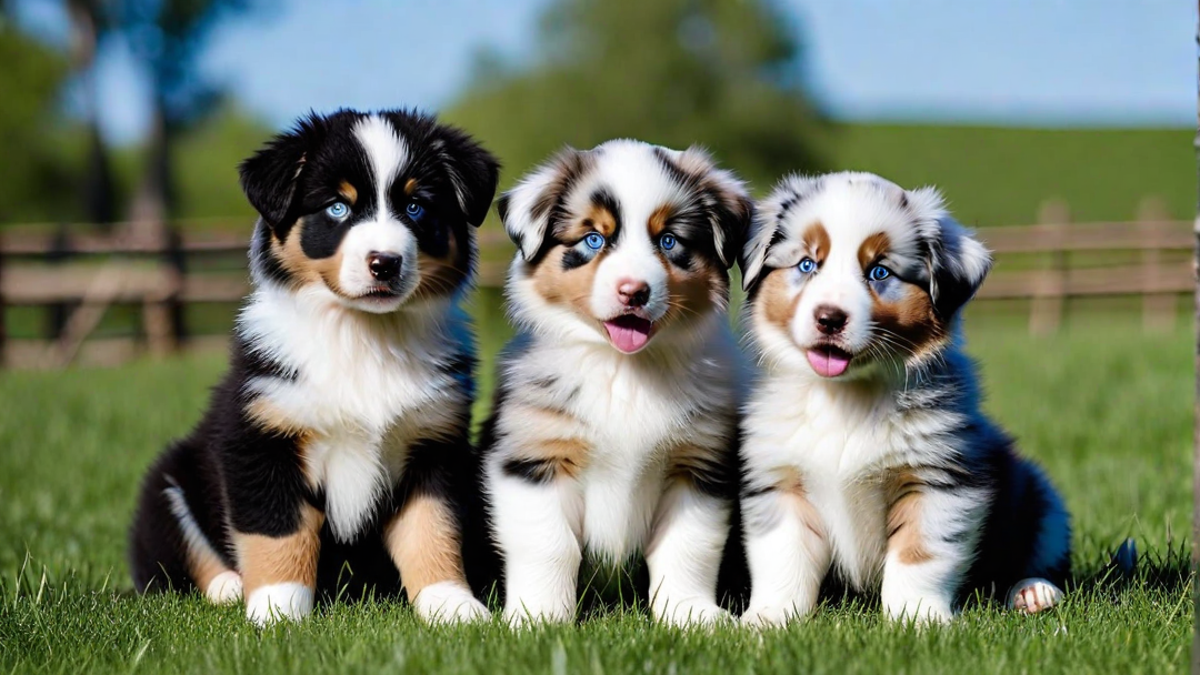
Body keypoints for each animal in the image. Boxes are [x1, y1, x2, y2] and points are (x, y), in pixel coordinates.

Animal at [131, 107, 501, 624]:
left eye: (415, 208)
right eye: (337, 208)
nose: (384, 262)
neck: (363, 336)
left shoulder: (434, 446)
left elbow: (433, 531)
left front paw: (451, 605)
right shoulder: (261, 439)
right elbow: (278, 534)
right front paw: (277, 610)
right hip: (167, 484)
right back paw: (229, 587)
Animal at [477, 139, 748, 624]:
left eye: (669, 240)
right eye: (593, 239)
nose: (634, 291)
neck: (625, 370)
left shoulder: (697, 465)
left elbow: (689, 546)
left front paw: (692, 615)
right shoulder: (532, 458)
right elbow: (548, 544)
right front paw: (538, 618)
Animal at [739, 170, 1070, 624]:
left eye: (879, 272)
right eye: (807, 264)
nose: (829, 318)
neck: (848, 397)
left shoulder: (938, 480)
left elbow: (919, 555)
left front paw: (918, 619)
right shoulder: (781, 478)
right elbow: (782, 559)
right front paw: (767, 620)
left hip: (1039, 496)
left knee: (1038, 556)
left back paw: (1033, 592)